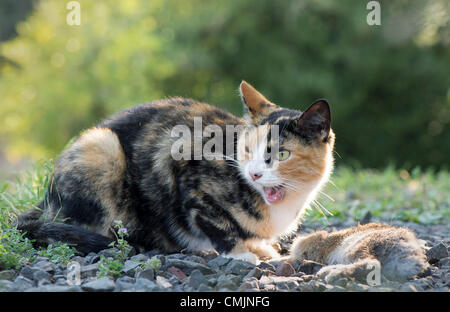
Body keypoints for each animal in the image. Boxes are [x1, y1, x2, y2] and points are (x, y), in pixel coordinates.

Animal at [17, 81, 334, 264]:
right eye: (246, 149)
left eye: (281, 154)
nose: (255, 174)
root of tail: (45, 202)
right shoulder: (186, 168)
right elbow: (217, 223)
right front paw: (241, 253)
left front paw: (261, 249)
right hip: (101, 146)